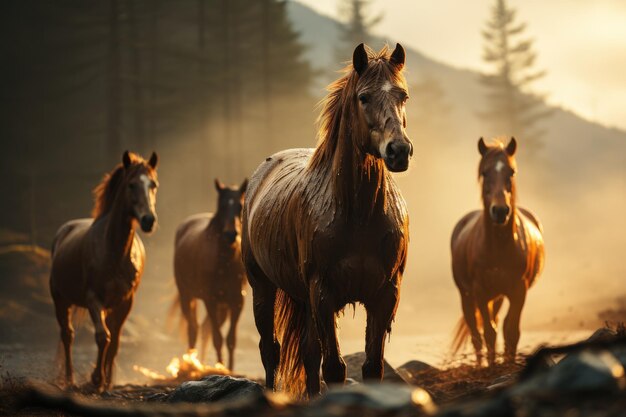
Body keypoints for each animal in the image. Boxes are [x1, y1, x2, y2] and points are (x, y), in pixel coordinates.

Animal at [50, 151, 160, 388]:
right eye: (131, 185)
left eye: (153, 184)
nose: (148, 220)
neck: (114, 251)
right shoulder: (94, 299)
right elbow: (103, 336)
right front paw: (96, 378)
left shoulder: (125, 302)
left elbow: (116, 341)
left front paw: (107, 382)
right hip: (60, 299)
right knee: (67, 335)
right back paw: (70, 379)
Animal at [173, 177, 249, 368]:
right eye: (221, 206)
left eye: (240, 205)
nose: (231, 234)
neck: (224, 263)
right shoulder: (211, 300)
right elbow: (218, 339)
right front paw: (221, 368)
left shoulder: (237, 302)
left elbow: (231, 340)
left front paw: (229, 369)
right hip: (187, 296)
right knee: (193, 329)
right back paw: (190, 363)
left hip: (223, 307)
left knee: (204, 329)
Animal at [241, 43, 412, 396]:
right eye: (364, 97)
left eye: (403, 95)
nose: (398, 151)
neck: (357, 213)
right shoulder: (323, 294)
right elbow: (333, 367)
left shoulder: (385, 295)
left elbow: (372, 366)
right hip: (263, 287)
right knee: (271, 350)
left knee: (308, 352)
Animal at [448, 138, 540, 366]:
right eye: (485, 172)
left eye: (512, 172)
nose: (500, 211)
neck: (499, 246)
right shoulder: (480, 292)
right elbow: (489, 332)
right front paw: (490, 367)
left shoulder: (519, 290)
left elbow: (511, 330)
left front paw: (508, 363)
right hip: (467, 296)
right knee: (475, 333)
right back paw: (480, 364)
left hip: (497, 296)